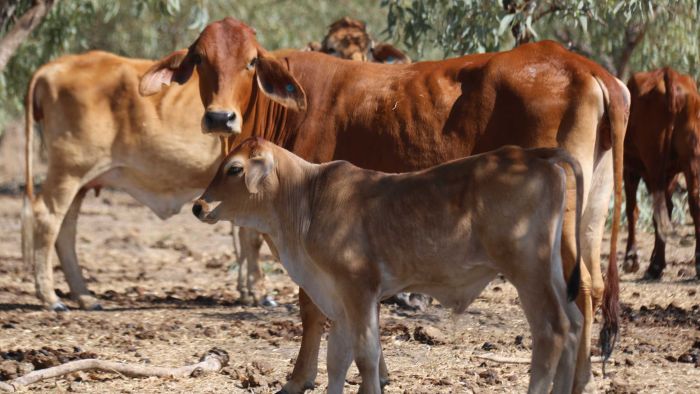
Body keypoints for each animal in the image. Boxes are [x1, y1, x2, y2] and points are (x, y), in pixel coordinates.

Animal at [19, 50, 270, 312]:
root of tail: (55, 65)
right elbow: (253, 237)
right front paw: (259, 293)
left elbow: (244, 234)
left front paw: (247, 292)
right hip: (69, 171)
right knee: (47, 218)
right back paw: (51, 297)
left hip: (79, 180)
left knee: (66, 229)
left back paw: (85, 296)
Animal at [191, 138, 584, 394]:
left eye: (234, 168)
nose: (198, 206)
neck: (307, 199)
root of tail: (531, 154)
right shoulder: (338, 299)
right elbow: (337, 358)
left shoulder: (359, 289)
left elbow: (366, 355)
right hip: (550, 270)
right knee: (575, 325)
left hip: (526, 270)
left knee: (552, 331)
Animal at [624, 67, 700, 280]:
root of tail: (669, 73)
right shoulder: (671, 174)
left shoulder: (629, 169)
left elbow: (632, 210)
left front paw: (631, 259)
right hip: (691, 158)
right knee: (694, 202)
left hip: (655, 161)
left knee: (658, 210)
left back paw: (655, 266)